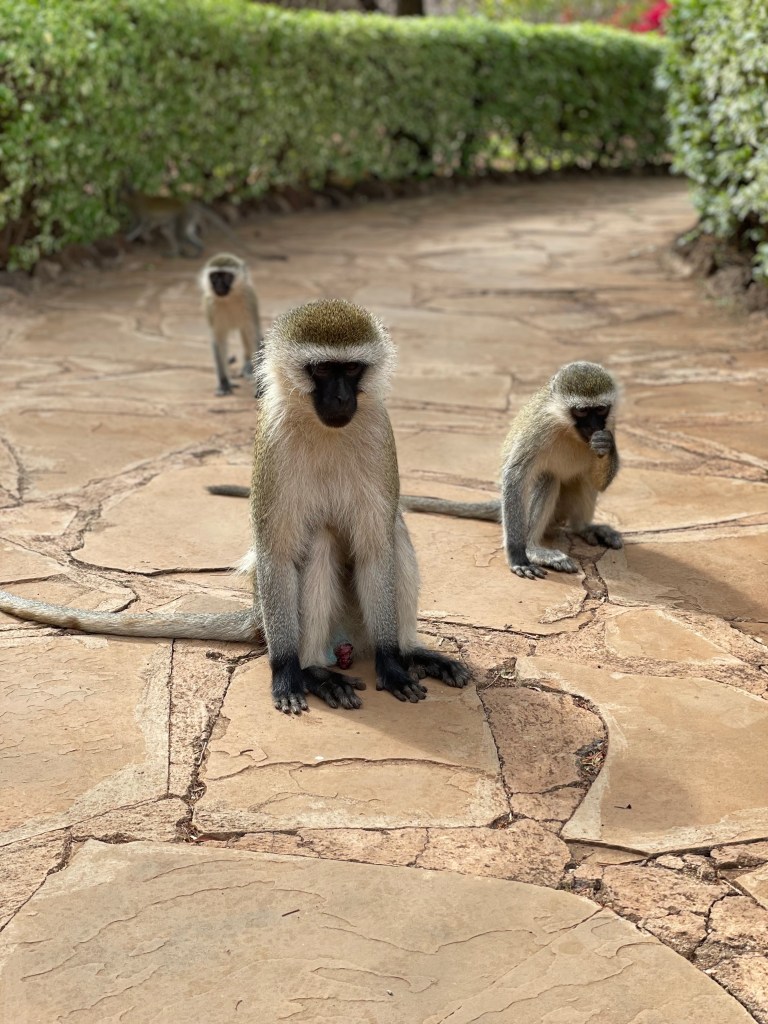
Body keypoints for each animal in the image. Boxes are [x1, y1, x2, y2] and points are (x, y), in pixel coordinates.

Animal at [0, 299, 470, 713]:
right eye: (321, 370)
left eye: (352, 369)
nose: (339, 400)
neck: (325, 430)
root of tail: (259, 618)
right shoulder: (272, 440)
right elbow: (276, 553)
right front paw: (287, 673)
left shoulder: (379, 430)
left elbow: (376, 547)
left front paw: (392, 664)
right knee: (317, 543)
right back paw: (314, 670)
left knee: (394, 530)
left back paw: (409, 653)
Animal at [200, 253, 263, 397]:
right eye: (215, 276)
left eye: (226, 276)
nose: (219, 285)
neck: (229, 298)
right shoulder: (210, 305)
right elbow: (218, 341)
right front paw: (224, 383)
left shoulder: (248, 299)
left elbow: (254, 337)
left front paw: (260, 386)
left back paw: (248, 366)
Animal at [205, 362, 622, 581]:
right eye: (581, 412)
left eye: (600, 411)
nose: (593, 428)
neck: (567, 428)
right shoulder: (539, 428)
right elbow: (516, 476)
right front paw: (520, 554)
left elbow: (601, 472)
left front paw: (606, 448)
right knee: (545, 479)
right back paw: (537, 546)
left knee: (581, 480)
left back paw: (586, 528)